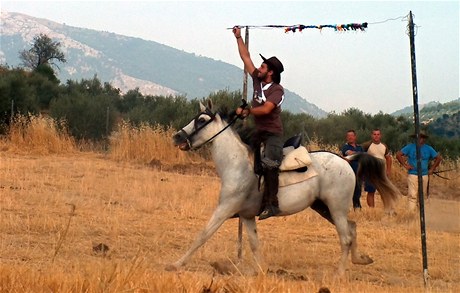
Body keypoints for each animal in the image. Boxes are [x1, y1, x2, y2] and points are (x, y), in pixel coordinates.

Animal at [168, 100, 398, 274]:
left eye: (201, 120)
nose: (177, 136)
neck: (238, 163)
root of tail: (346, 159)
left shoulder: (225, 209)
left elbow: (203, 235)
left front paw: (176, 264)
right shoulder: (247, 216)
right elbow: (254, 244)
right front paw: (261, 270)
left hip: (336, 208)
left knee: (346, 237)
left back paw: (339, 274)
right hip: (324, 208)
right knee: (352, 227)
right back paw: (361, 259)